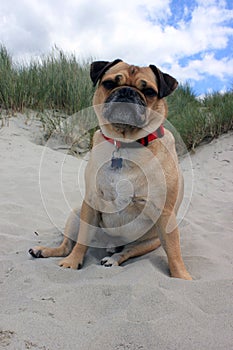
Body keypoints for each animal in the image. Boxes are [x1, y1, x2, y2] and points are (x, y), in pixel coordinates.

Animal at [29, 58, 192, 280]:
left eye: (149, 91)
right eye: (109, 83)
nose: (127, 92)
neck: (125, 144)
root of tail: (110, 244)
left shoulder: (164, 214)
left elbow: (174, 253)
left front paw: (181, 277)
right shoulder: (91, 202)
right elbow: (80, 243)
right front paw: (72, 262)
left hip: (150, 241)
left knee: (126, 252)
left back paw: (112, 259)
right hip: (76, 215)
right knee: (68, 245)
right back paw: (45, 251)